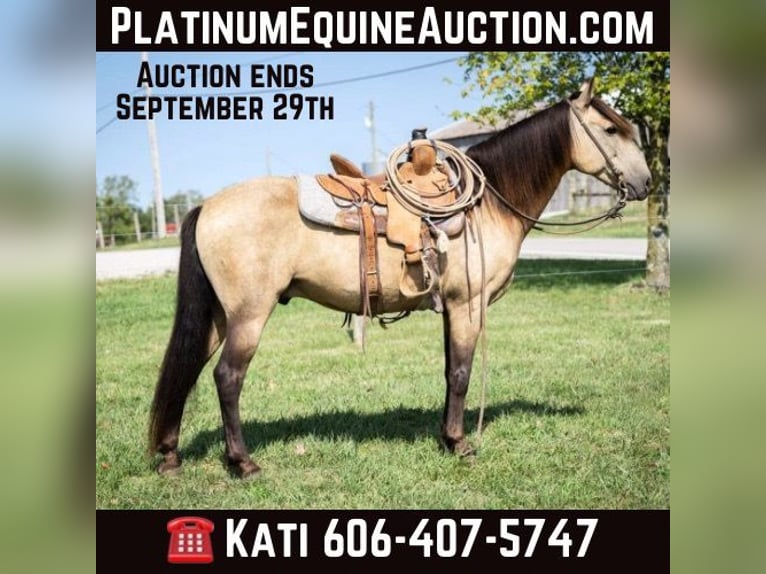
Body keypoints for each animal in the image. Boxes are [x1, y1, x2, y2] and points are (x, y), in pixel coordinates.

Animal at [148, 78, 652, 478]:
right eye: (611, 129)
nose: (646, 183)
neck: (489, 202)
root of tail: (207, 206)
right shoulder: (468, 305)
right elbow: (463, 372)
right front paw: (460, 444)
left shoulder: (451, 306)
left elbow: (450, 370)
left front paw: (446, 437)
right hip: (250, 314)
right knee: (227, 377)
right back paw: (243, 463)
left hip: (219, 316)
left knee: (188, 370)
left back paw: (171, 455)